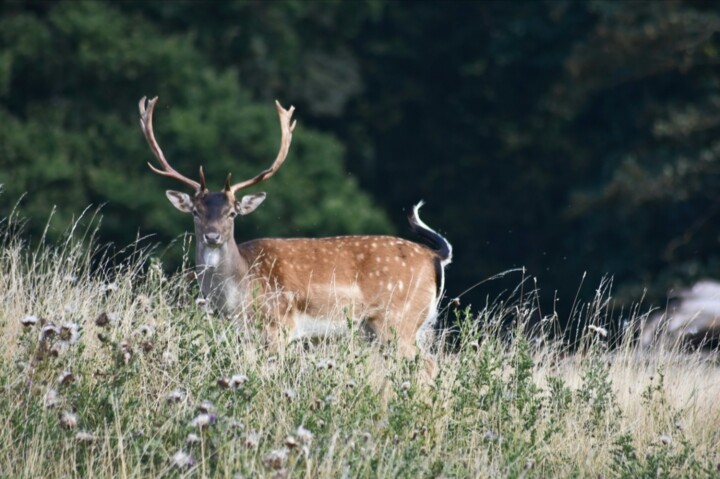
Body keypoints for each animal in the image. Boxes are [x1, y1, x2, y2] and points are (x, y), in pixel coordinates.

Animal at [138, 96, 452, 365]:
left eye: (232, 213)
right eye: (195, 212)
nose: (212, 236)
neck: (236, 295)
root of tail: (434, 255)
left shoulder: (279, 325)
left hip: (398, 320)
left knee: (427, 366)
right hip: (399, 328)